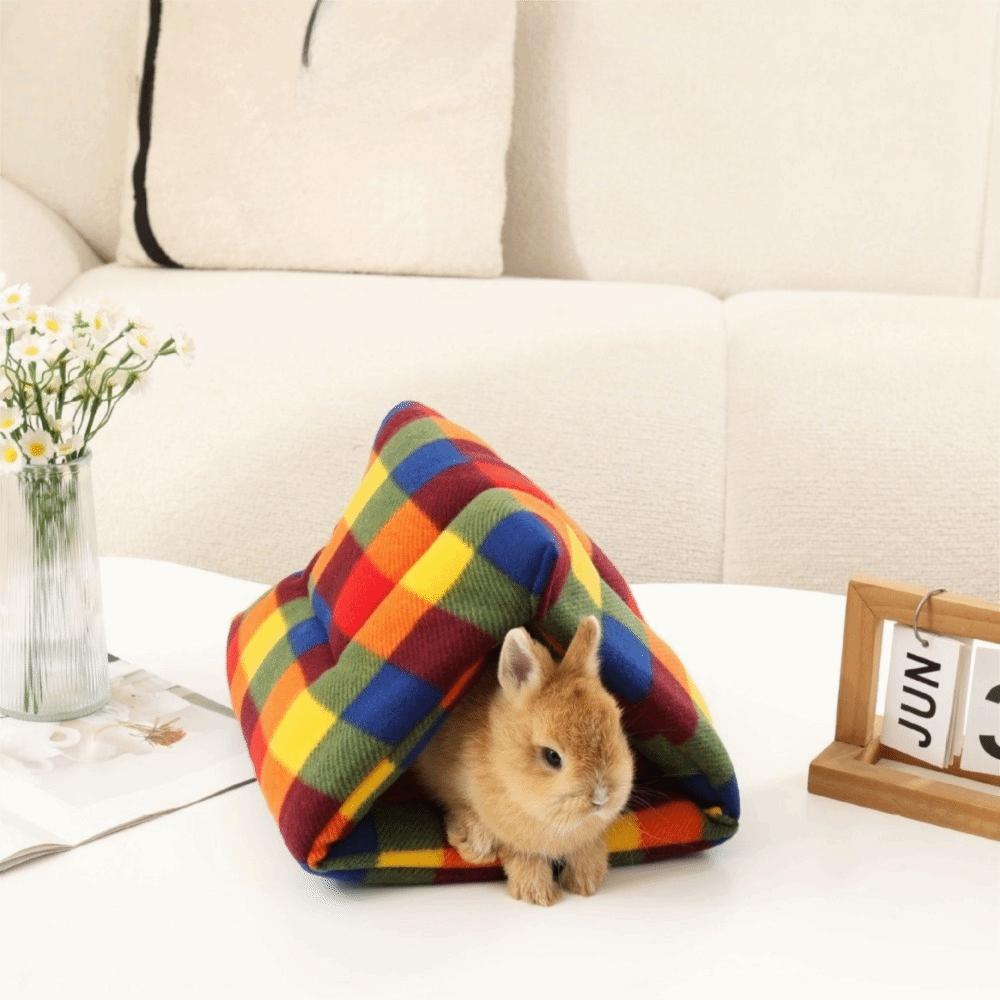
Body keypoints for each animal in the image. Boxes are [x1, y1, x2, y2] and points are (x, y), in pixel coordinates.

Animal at [413, 615, 634, 905]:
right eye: (552, 756)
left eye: (617, 725)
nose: (600, 799)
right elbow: (518, 854)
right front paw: (538, 894)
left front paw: (586, 882)